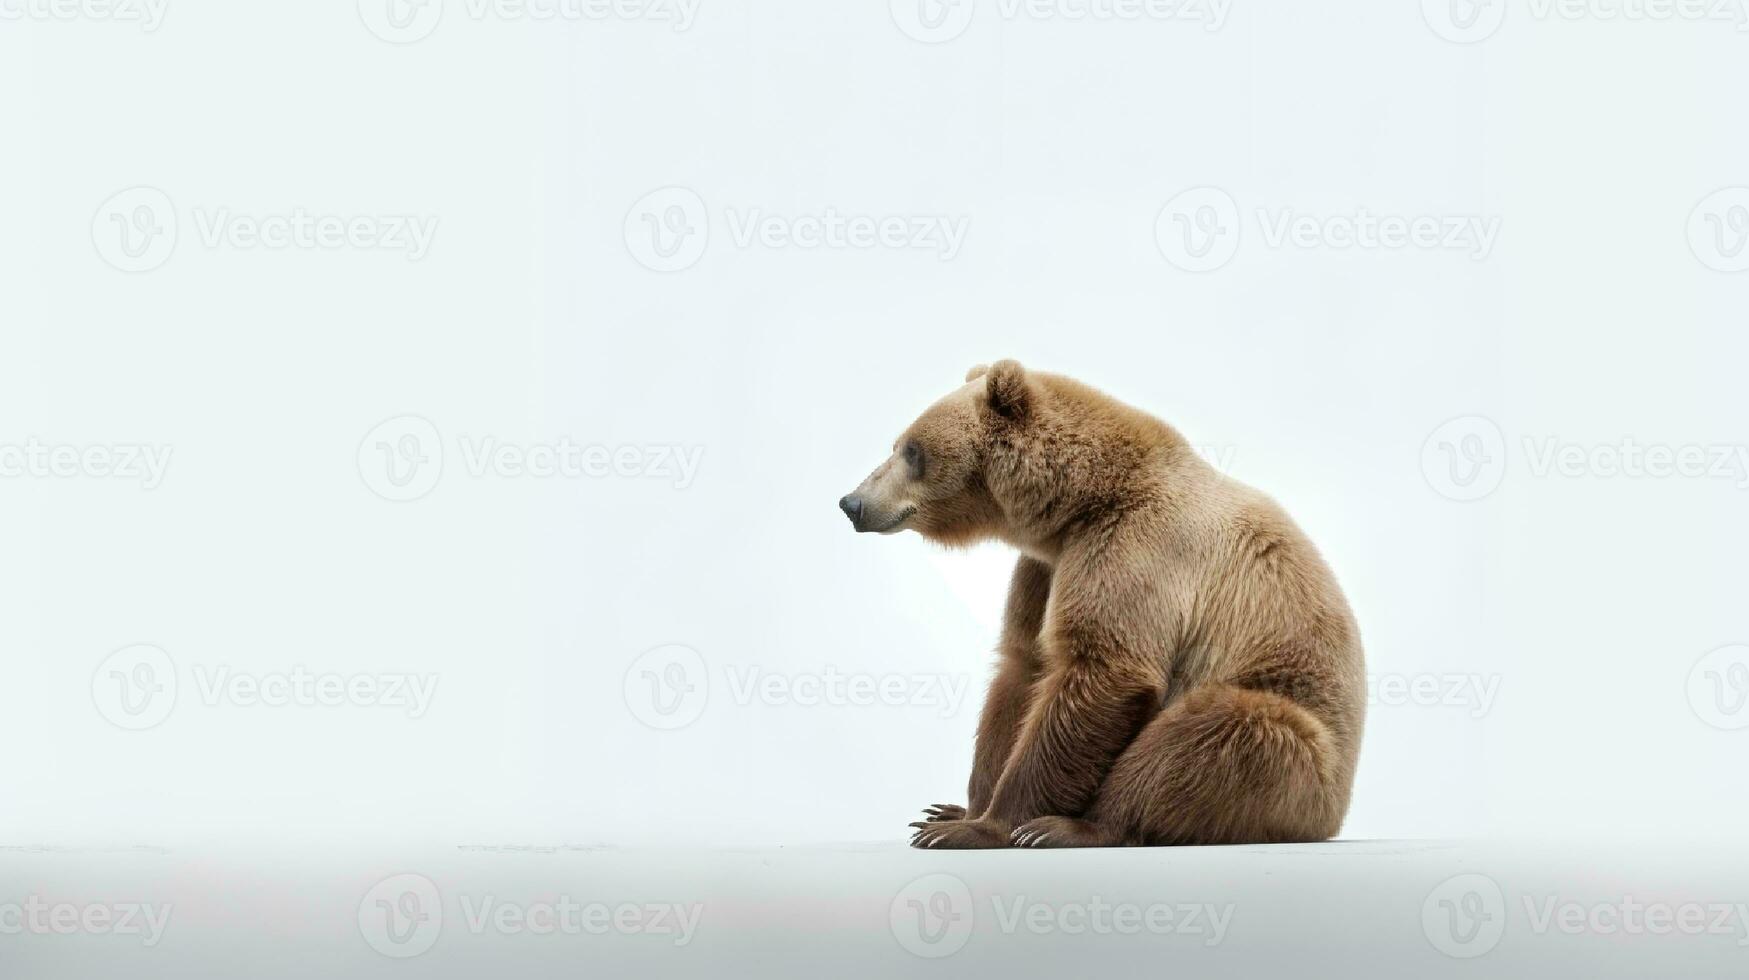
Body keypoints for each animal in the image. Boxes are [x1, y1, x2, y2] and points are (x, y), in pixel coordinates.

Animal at [836, 364, 1364, 847]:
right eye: (898, 444)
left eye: (911, 450)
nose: (852, 503)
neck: (1080, 502)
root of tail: (1333, 818)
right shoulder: (1045, 569)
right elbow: (1022, 669)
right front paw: (954, 812)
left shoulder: (1136, 548)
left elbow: (1104, 667)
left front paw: (984, 828)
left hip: (1301, 751)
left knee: (1212, 734)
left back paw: (1077, 827)